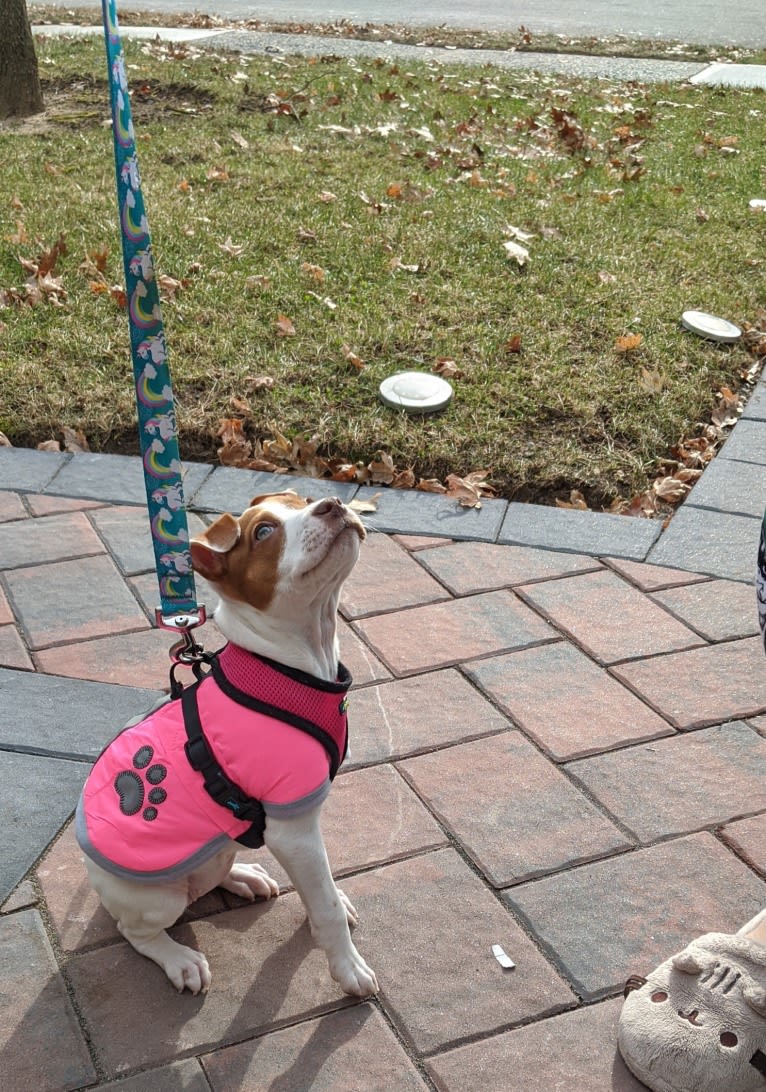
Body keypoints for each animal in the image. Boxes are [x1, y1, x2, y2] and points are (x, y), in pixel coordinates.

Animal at [75, 493, 380, 1000]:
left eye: (300, 500)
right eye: (264, 532)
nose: (333, 503)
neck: (288, 666)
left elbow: (323, 890)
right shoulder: (293, 828)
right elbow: (326, 909)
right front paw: (348, 968)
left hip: (218, 850)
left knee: (212, 874)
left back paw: (245, 876)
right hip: (155, 898)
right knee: (134, 931)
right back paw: (180, 960)